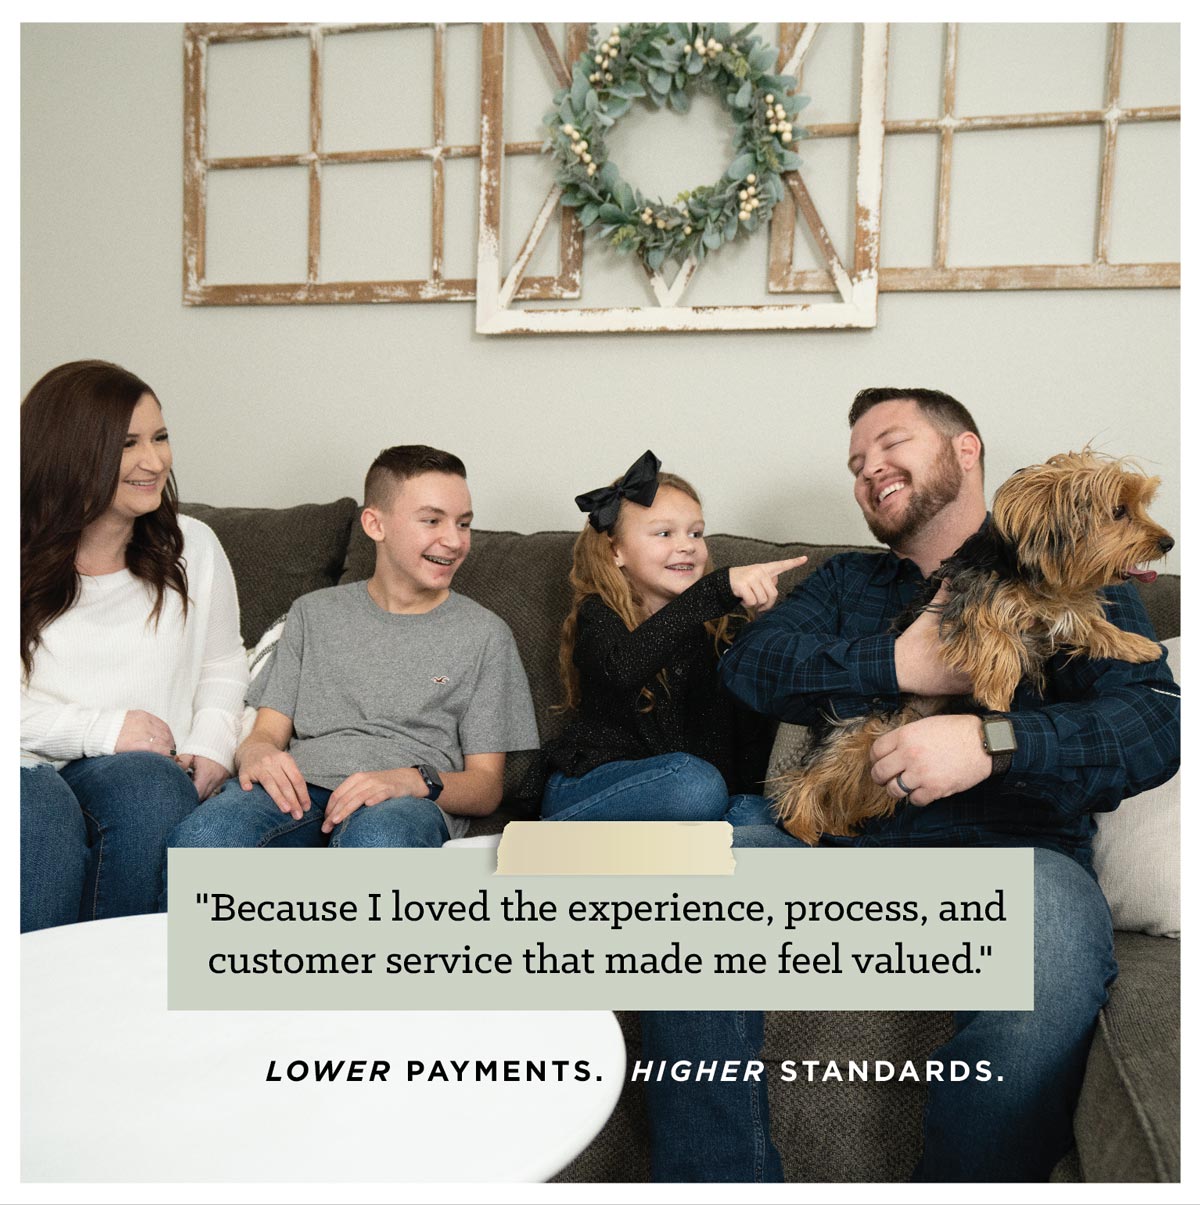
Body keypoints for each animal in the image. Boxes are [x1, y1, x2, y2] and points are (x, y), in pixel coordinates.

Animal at [771, 448, 1171, 843]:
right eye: (1118, 511)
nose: (1168, 542)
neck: (1032, 571)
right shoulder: (970, 597)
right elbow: (994, 632)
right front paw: (998, 690)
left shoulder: (1057, 607)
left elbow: (1088, 624)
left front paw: (1138, 646)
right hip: (858, 729)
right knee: (810, 777)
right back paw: (802, 825)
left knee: (852, 789)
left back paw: (839, 825)